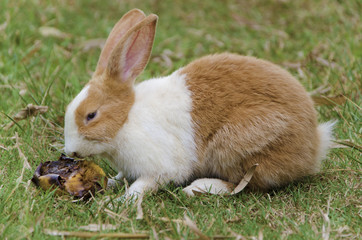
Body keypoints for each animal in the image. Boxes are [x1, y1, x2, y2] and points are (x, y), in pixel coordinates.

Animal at [63, 8, 334, 199]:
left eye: (91, 115)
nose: (70, 152)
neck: (126, 119)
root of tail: (314, 143)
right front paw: (111, 183)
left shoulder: (161, 167)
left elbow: (145, 184)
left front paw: (121, 202)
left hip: (238, 145)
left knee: (246, 184)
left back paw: (200, 187)